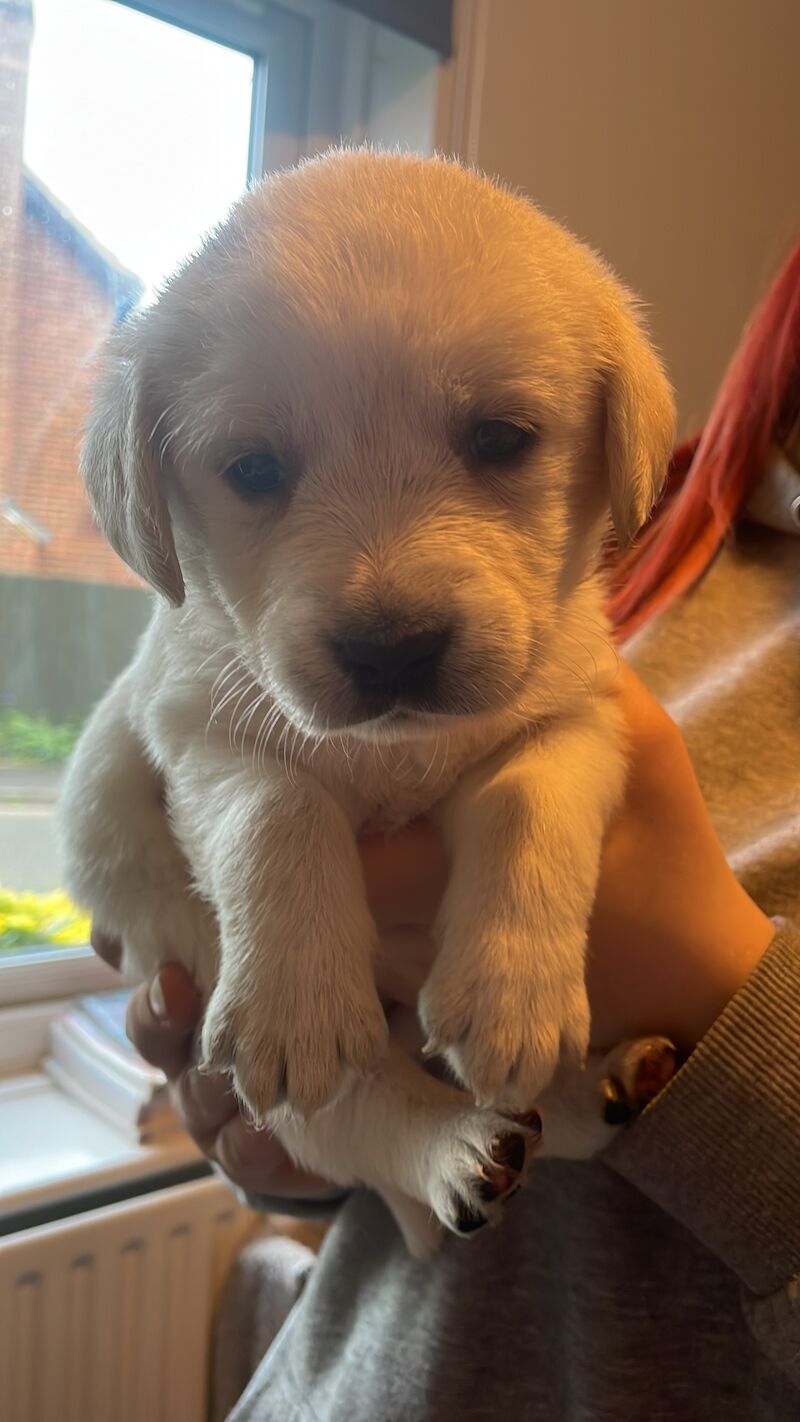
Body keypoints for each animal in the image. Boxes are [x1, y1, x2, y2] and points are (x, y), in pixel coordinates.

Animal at [59, 147, 679, 1257]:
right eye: (254, 468)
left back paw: (610, 1082)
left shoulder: (578, 711)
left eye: (499, 437)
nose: (391, 650)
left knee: (550, 1118)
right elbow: (278, 808)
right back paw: (461, 1150)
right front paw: (298, 998)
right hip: (234, 1042)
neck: (393, 749)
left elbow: (526, 801)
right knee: (365, 1114)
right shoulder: (192, 727)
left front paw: (511, 996)